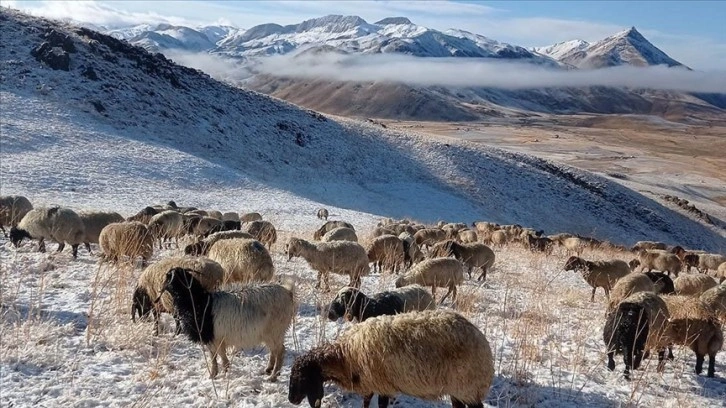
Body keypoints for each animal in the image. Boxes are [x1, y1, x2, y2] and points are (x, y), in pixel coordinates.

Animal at [160, 268, 296, 380]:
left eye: (168, 277)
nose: (160, 288)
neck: (200, 303)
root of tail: (288, 292)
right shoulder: (213, 339)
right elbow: (216, 356)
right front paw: (217, 373)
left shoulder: (216, 338)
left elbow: (219, 357)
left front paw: (220, 374)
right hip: (271, 334)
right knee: (274, 350)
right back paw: (268, 370)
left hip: (275, 331)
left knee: (280, 351)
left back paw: (273, 376)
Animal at [288, 310, 494, 408]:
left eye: (301, 377)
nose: (291, 400)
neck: (346, 356)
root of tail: (483, 341)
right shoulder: (373, 382)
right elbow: (366, 402)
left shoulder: (382, 384)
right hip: (458, 389)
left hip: (469, 386)